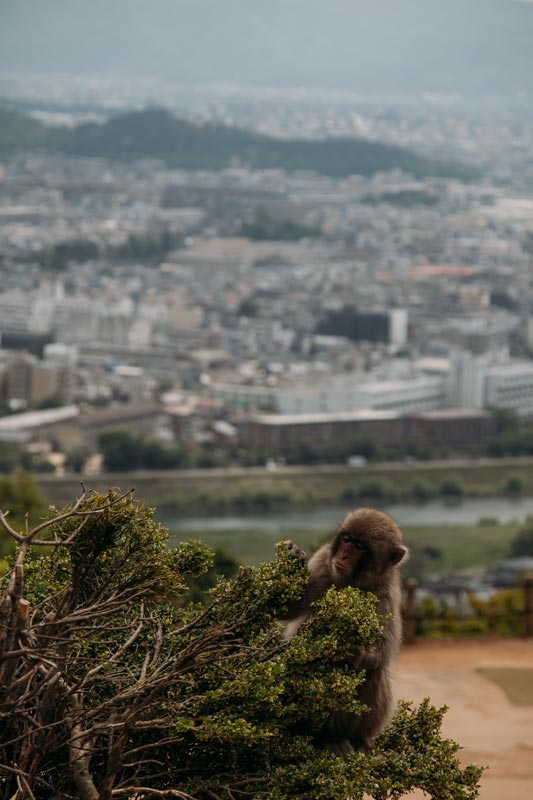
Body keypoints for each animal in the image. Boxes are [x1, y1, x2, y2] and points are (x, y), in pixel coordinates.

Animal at [283, 507, 408, 756]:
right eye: (346, 540)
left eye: (359, 547)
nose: (343, 556)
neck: (352, 580)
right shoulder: (323, 563)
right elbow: (290, 607)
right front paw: (293, 555)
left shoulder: (385, 594)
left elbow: (382, 648)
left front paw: (351, 649)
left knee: (372, 672)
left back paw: (345, 738)